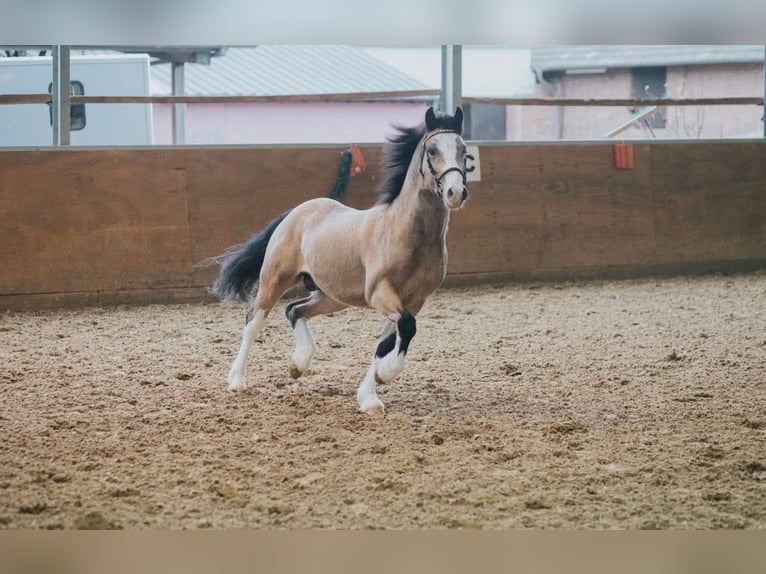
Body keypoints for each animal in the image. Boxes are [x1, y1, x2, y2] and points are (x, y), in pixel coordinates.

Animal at [213, 107, 472, 414]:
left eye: (464, 151)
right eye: (432, 150)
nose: (455, 193)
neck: (405, 233)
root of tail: (297, 212)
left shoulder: (415, 299)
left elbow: (387, 342)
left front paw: (370, 397)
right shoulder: (380, 292)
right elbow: (406, 327)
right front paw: (386, 375)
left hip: (332, 296)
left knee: (294, 310)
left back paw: (299, 363)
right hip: (275, 279)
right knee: (254, 320)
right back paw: (237, 380)